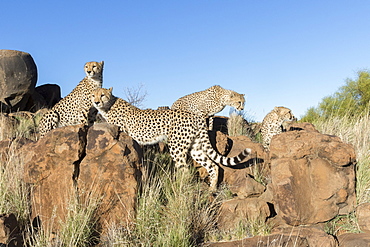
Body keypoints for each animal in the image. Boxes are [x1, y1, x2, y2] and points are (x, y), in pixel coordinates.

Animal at [91, 87, 251, 191]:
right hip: (195, 147)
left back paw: (180, 188)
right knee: (213, 165)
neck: (109, 105)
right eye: (93, 95)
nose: (96, 102)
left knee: (185, 170)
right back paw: (212, 189)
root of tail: (195, 116)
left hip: (176, 147)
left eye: (102, 95)